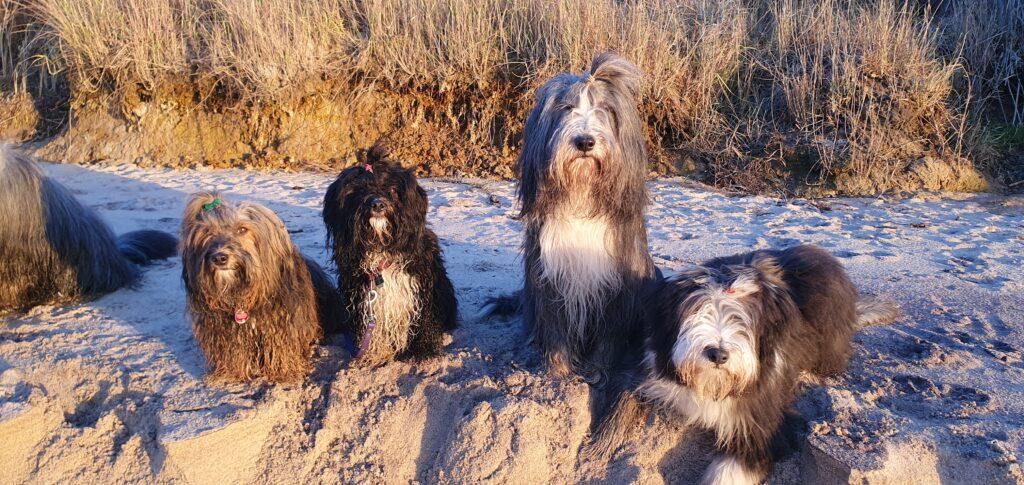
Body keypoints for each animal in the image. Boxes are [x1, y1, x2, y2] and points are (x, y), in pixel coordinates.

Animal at [180, 192, 342, 383]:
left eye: (242, 229)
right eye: (207, 232)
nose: (220, 257)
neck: (242, 296)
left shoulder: (282, 326)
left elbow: (281, 348)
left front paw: (284, 372)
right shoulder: (224, 331)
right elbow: (232, 352)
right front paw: (230, 372)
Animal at [322, 146, 457, 367]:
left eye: (392, 190)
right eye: (359, 190)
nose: (378, 205)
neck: (382, 247)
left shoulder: (420, 287)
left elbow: (424, 319)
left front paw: (425, 350)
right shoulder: (362, 294)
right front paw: (375, 353)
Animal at [487, 53, 656, 379]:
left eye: (605, 110)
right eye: (567, 108)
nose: (585, 142)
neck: (582, 193)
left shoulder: (615, 284)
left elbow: (608, 335)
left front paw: (598, 369)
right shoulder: (550, 277)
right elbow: (556, 330)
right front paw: (558, 370)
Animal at [590, 245, 900, 484]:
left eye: (740, 320)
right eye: (696, 311)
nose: (717, 353)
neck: (712, 385)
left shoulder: (762, 422)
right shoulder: (646, 370)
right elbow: (624, 396)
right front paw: (602, 443)